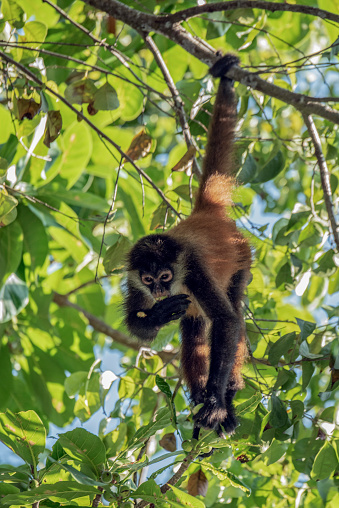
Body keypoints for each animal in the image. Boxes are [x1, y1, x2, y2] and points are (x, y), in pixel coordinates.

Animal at [125, 55, 252, 436]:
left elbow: (227, 321)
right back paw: (199, 395)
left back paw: (224, 396)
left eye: (166, 276)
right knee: (193, 328)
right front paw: (157, 314)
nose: (160, 292)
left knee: (232, 311)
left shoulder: (193, 269)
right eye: (149, 280)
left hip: (242, 257)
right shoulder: (133, 278)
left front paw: (215, 404)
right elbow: (136, 324)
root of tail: (205, 213)